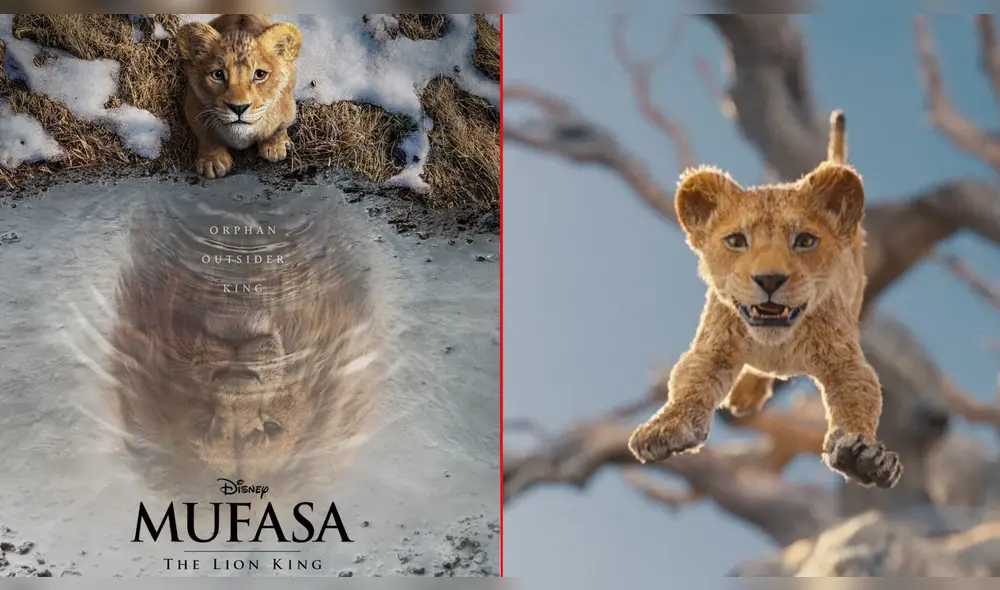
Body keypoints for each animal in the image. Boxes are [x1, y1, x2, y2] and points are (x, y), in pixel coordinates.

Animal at [176, 14, 302, 179]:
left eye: (260, 74)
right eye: (217, 74)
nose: (239, 108)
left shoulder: (288, 107)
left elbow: (279, 127)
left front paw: (275, 146)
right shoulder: (193, 106)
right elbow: (205, 134)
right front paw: (213, 161)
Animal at [627, 110, 902, 489]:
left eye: (804, 240)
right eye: (736, 240)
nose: (769, 279)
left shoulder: (845, 362)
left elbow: (858, 401)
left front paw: (863, 457)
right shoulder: (712, 348)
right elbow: (688, 385)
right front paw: (664, 428)